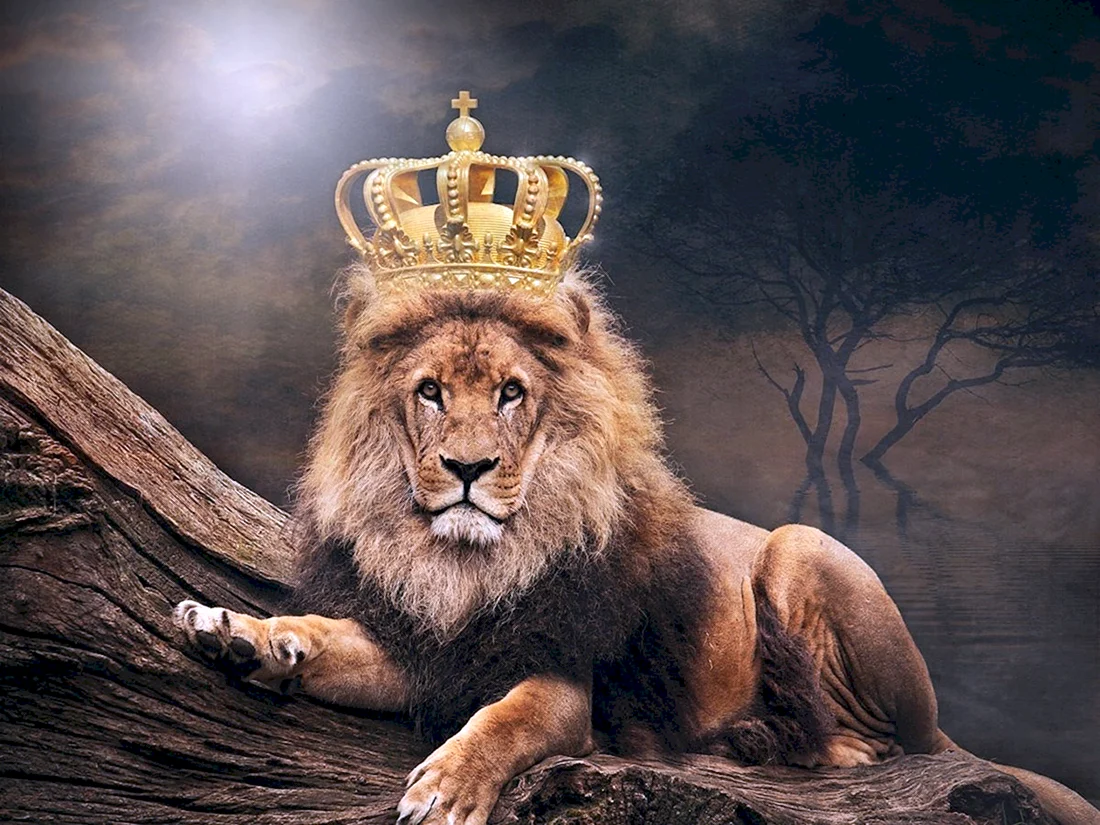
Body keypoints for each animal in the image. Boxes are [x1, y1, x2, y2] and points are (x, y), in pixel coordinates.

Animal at [174, 269, 1099, 825]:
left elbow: (505, 719)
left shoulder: (561, 680)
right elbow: (328, 636)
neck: (465, 564)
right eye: (429, 392)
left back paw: (770, 740)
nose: (468, 469)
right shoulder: (432, 647)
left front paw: (446, 786)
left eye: (511, 394)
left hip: (801, 549)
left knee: (877, 743)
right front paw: (240, 632)